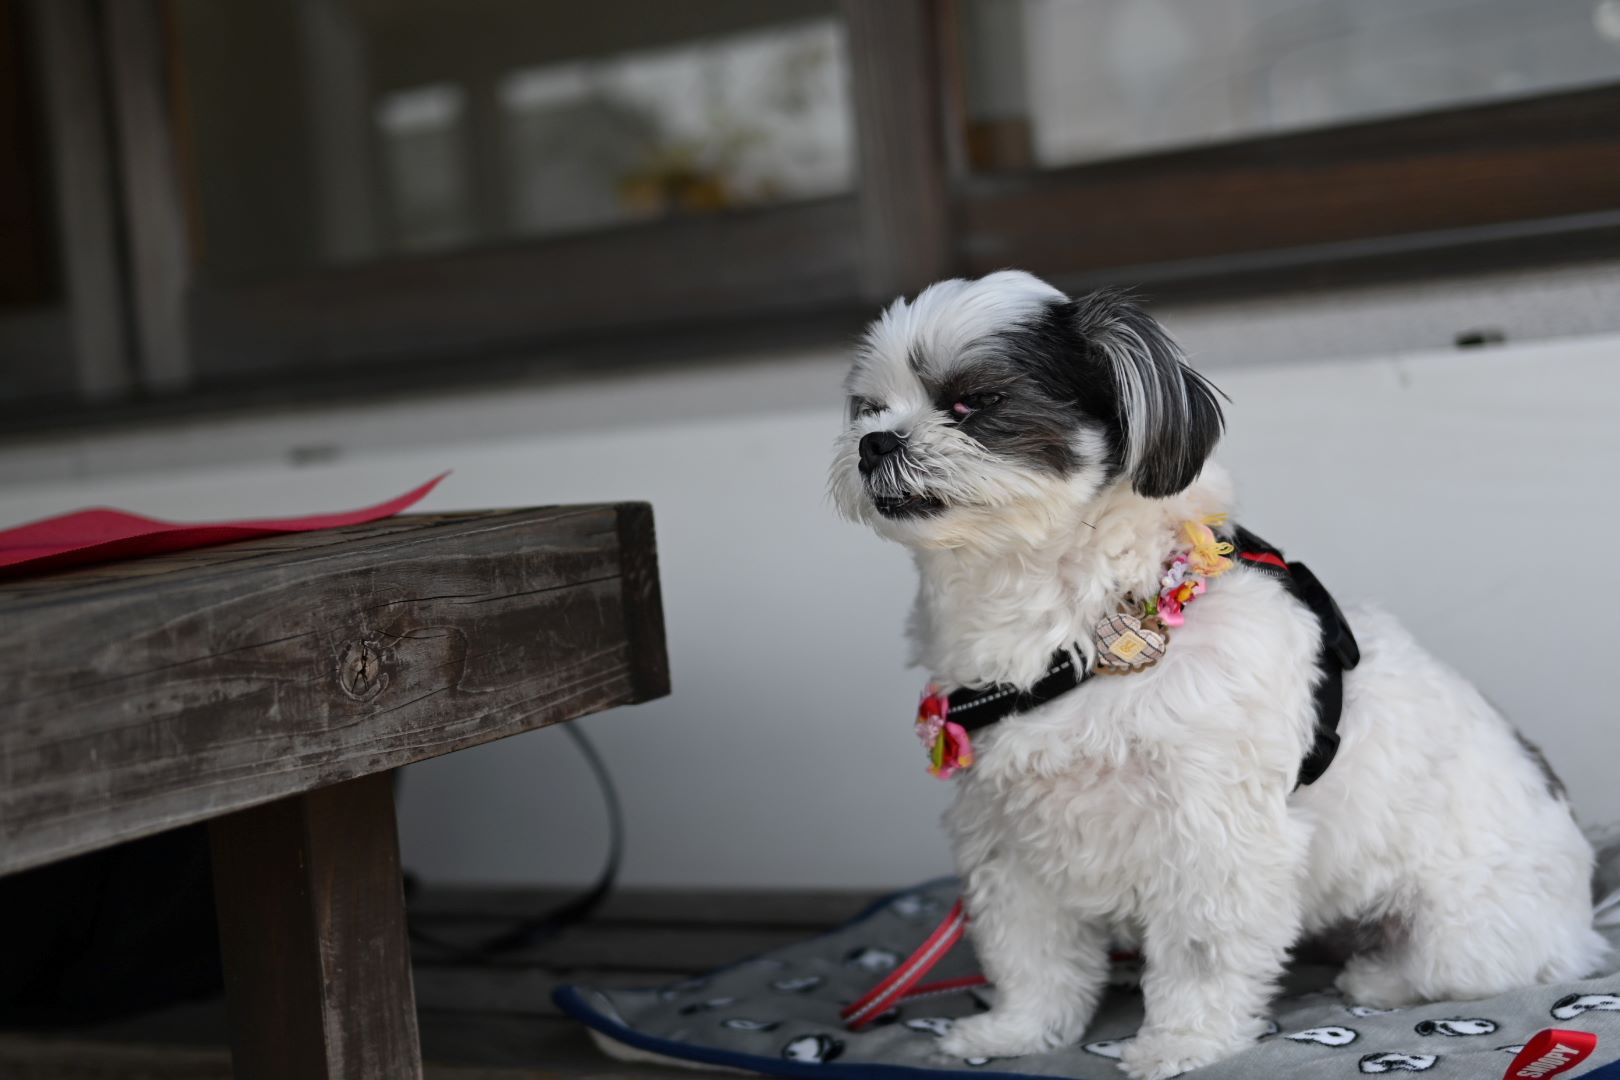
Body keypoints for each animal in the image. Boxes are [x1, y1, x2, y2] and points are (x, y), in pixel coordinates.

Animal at [829, 272, 1613, 1080]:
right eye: (866, 408)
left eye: (975, 401)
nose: (875, 443)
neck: (1083, 629)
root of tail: (1586, 896)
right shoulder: (1008, 838)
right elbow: (1032, 955)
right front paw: (1014, 1032)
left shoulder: (1211, 834)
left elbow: (1201, 953)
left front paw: (1181, 1043)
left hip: (1461, 930)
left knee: (1476, 967)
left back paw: (1377, 977)